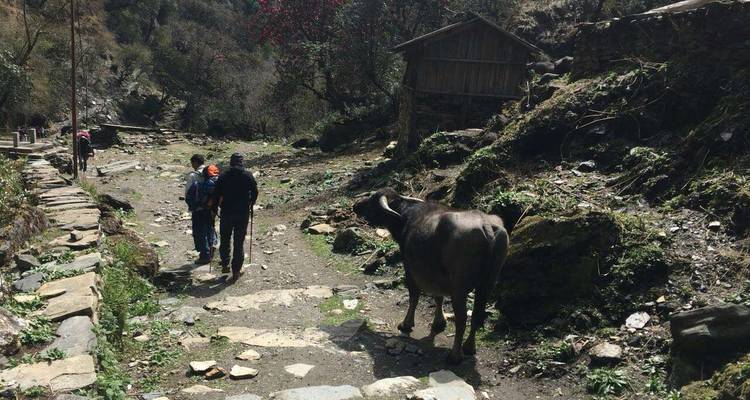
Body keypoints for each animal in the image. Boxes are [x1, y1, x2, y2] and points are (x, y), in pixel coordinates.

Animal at [354, 188, 509, 363]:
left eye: (373, 200)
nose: (356, 206)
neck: (406, 216)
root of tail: (486, 225)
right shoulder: (436, 275)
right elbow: (438, 297)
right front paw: (438, 322)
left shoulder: (410, 266)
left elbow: (414, 295)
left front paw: (406, 324)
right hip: (488, 282)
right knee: (476, 313)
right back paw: (469, 347)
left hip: (459, 286)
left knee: (462, 318)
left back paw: (455, 355)